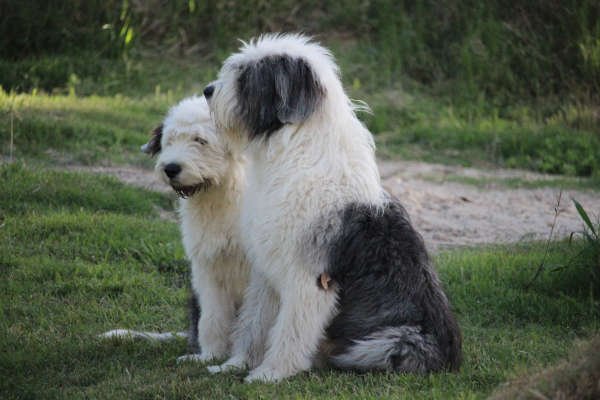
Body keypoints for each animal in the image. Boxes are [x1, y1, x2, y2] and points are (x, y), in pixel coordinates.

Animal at [204, 33, 462, 382]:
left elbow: (290, 330)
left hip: (394, 342)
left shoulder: (309, 278)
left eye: (247, 78)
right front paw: (236, 363)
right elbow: (253, 321)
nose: (207, 91)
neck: (291, 151)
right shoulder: (265, 270)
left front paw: (271, 373)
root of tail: (453, 359)